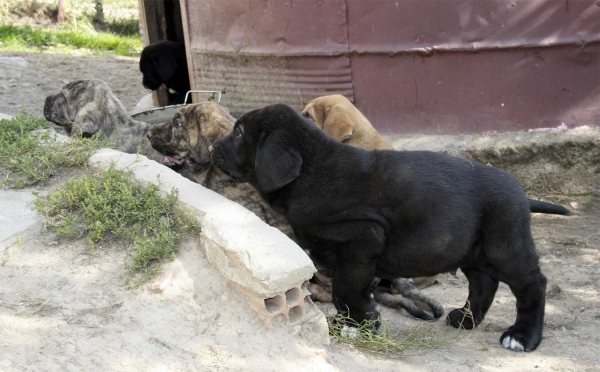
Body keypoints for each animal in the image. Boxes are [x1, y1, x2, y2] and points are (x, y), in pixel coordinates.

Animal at [212, 102, 556, 352]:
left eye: (239, 133)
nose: (214, 146)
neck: (310, 173)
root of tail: (522, 193)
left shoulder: (360, 241)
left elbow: (348, 288)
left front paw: (360, 325)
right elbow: (341, 292)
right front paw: (353, 322)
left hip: (505, 245)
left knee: (532, 284)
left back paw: (522, 337)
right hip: (473, 251)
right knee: (484, 283)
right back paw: (466, 319)